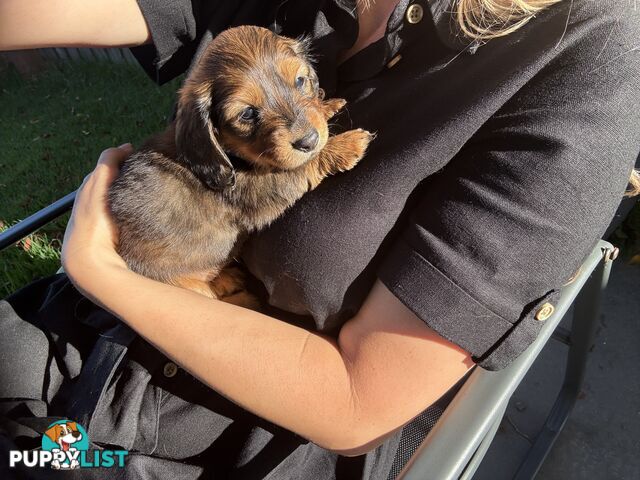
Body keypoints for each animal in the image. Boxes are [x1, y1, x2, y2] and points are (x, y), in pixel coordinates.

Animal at [108, 24, 372, 302]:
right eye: (247, 113)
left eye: (300, 81)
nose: (309, 141)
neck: (231, 154)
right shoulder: (259, 189)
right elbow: (297, 168)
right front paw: (345, 145)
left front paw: (326, 105)